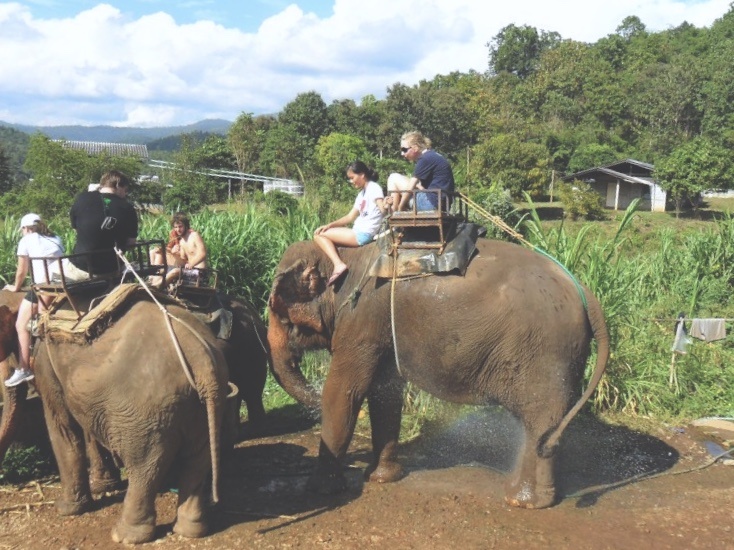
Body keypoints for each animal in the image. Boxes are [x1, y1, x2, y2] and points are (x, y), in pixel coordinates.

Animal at [32, 294, 230, 548]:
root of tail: (200, 358)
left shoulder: (45, 364)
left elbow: (63, 427)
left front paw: (65, 510)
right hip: (203, 405)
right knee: (197, 458)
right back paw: (190, 530)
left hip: (144, 412)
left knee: (144, 467)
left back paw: (125, 536)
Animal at [268, 239, 612, 512]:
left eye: (281, 317)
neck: (347, 257)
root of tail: (584, 290)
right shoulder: (380, 328)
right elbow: (385, 394)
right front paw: (383, 478)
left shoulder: (361, 320)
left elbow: (343, 392)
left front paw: (319, 491)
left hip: (547, 354)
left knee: (540, 424)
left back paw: (523, 501)